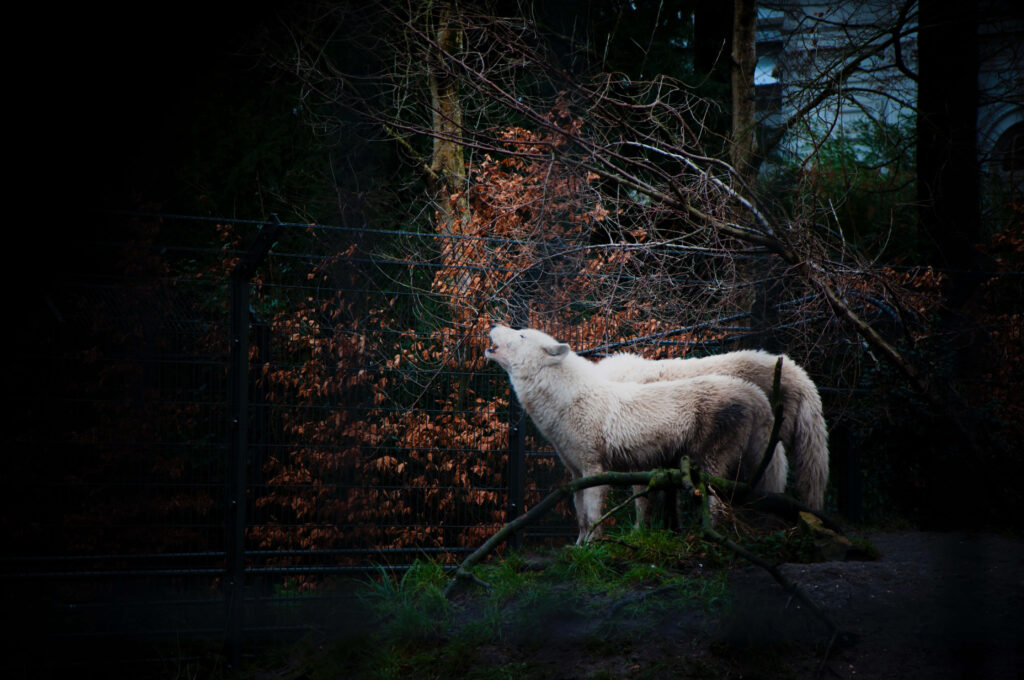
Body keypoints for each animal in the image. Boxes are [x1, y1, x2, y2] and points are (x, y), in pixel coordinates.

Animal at [485, 325, 787, 543]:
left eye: (521, 334)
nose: (493, 324)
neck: (569, 400)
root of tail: (752, 391)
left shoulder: (595, 470)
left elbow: (593, 518)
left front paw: (592, 548)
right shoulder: (575, 475)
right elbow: (581, 519)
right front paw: (578, 548)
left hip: (708, 467)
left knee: (716, 507)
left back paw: (707, 538)